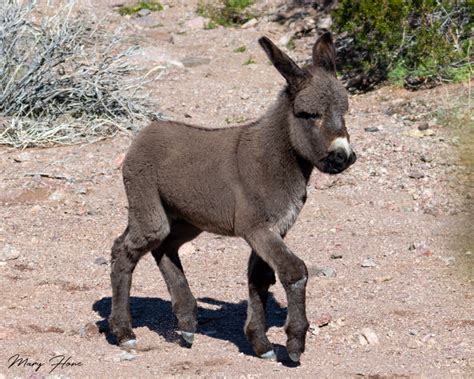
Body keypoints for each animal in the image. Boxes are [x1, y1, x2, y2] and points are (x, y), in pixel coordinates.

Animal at [110, 33, 356, 366]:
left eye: (345, 112)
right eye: (308, 115)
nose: (343, 157)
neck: (275, 157)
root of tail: (147, 130)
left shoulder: (274, 230)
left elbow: (260, 278)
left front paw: (260, 343)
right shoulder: (257, 228)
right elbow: (293, 271)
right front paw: (293, 343)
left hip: (187, 219)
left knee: (164, 247)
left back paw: (186, 324)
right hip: (148, 208)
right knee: (125, 250)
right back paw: (125, 333)